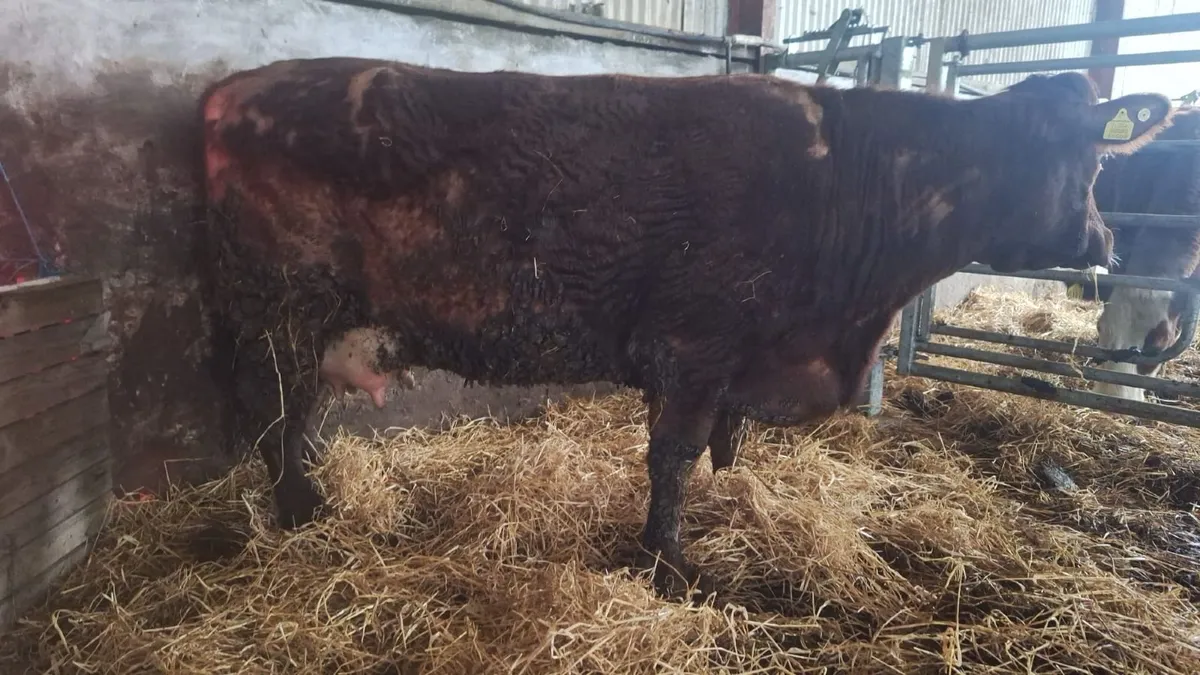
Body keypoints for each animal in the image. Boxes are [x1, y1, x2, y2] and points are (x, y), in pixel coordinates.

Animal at [199, 58, 1171, 599]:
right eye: (1081, 154)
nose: (1105, 240)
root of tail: (233, 88)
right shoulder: (697, 343)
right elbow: (673, 456)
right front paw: (668, 562)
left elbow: (706, 453)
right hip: (280, 306)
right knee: (272, 410)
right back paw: (299, 513)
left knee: (292, 416)